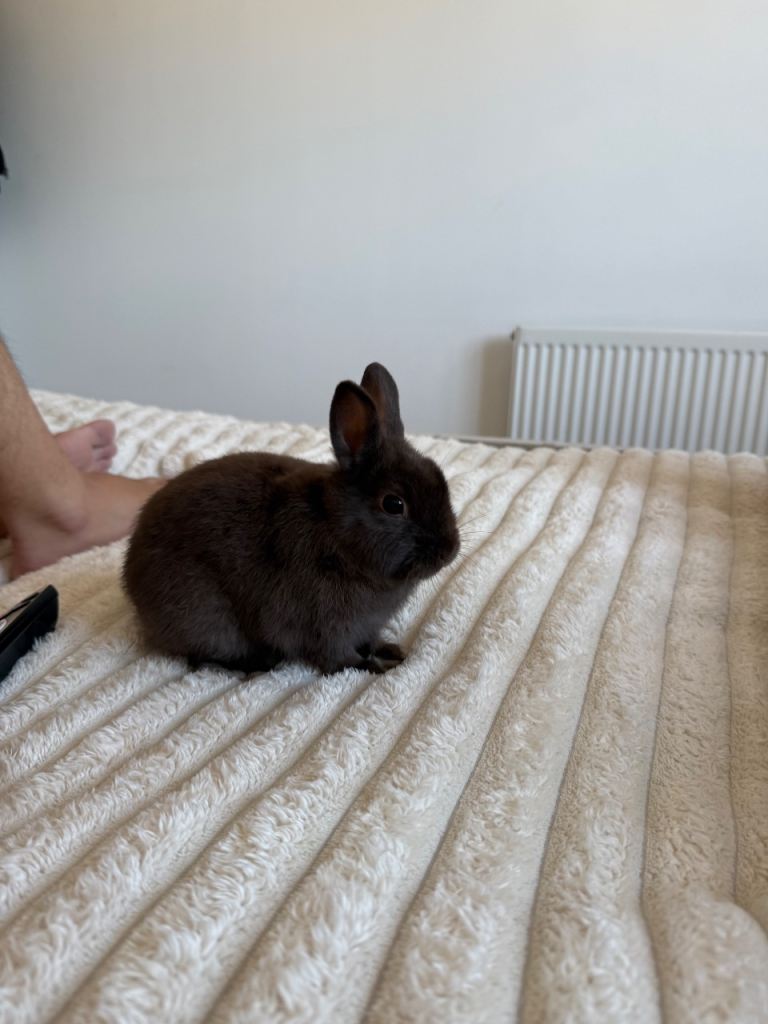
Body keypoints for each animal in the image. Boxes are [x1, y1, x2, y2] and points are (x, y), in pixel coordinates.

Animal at [123, 362, 460, 675]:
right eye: (393, 504)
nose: (450, 551)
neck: (336, 533)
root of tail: (131, 581)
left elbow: (369, 640)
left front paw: (389, 650)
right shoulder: (326, 626)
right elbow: (340, 659)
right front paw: (375, 666)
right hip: (208, 619)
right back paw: (257, 663)